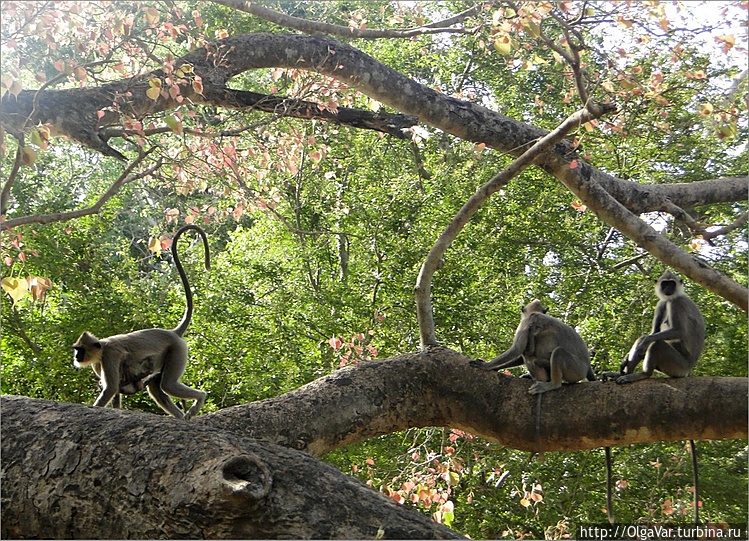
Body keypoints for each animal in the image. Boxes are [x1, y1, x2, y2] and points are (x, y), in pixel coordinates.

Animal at [72, 223, 209, 418]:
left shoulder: (110, 355)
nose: (76, 357)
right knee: (157, 388)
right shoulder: (99, 362)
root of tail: (171, 333)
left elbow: (111, 388)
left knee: (167, 384)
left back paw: (200, 398)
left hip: (177, 349)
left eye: (80, 350)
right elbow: (115, 390)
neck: (102, 347)